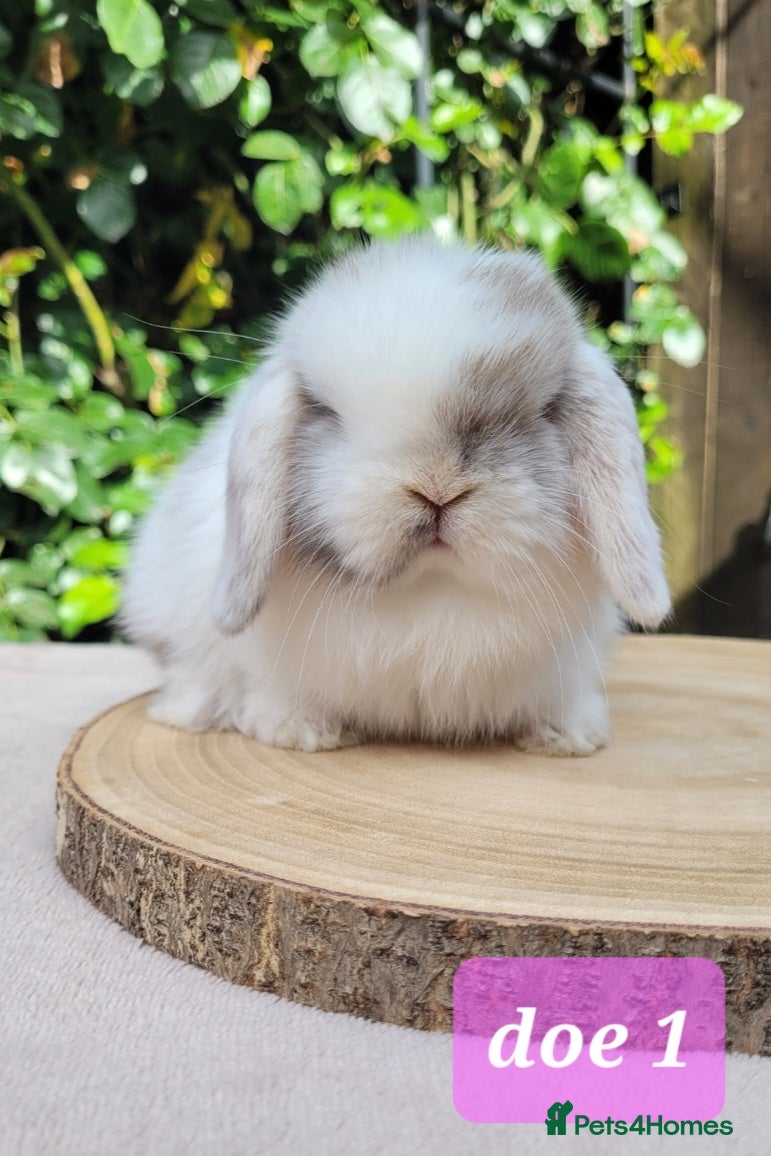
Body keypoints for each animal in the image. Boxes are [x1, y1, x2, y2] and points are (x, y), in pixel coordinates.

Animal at [121, 237, 671, 756]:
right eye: (326, 411)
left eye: (545, 409)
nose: (436, 488)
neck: (430, 590)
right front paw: (297, 732)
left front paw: (572, 736)